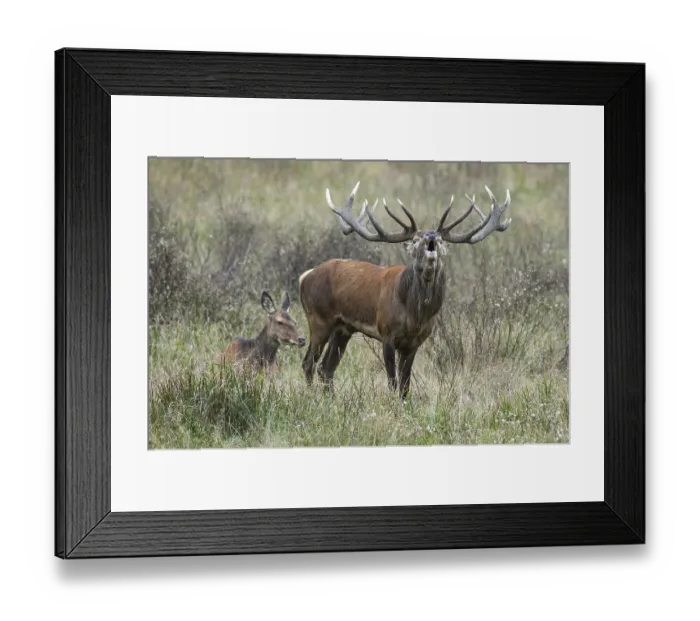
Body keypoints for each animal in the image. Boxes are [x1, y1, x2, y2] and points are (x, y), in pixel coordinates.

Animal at [298, 181, 512, 400]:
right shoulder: (386, 333)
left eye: (441, 241)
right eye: (416, 240)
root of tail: (305, 277)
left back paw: (330, 399)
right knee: (309, 363)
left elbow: (405, 385)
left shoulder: (414, 342)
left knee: (326, 367)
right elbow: (393, 381)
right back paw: (310, 397)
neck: (415, 315)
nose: (431, 236)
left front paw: (403, 403)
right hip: (319, 318)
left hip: (343, 328)